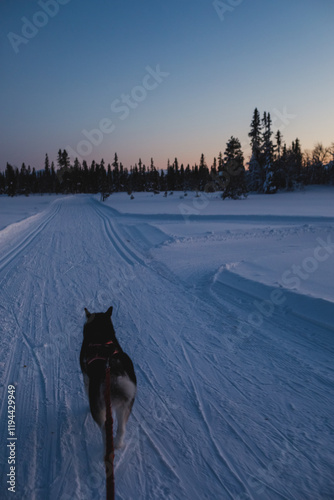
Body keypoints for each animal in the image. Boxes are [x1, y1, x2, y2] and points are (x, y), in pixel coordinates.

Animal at [80, 306, 136, 452]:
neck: (101, 337)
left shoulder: (86, 378)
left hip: (100, 410)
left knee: (105, 430)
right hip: (125, 406)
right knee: (121, 429)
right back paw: (118, 444)